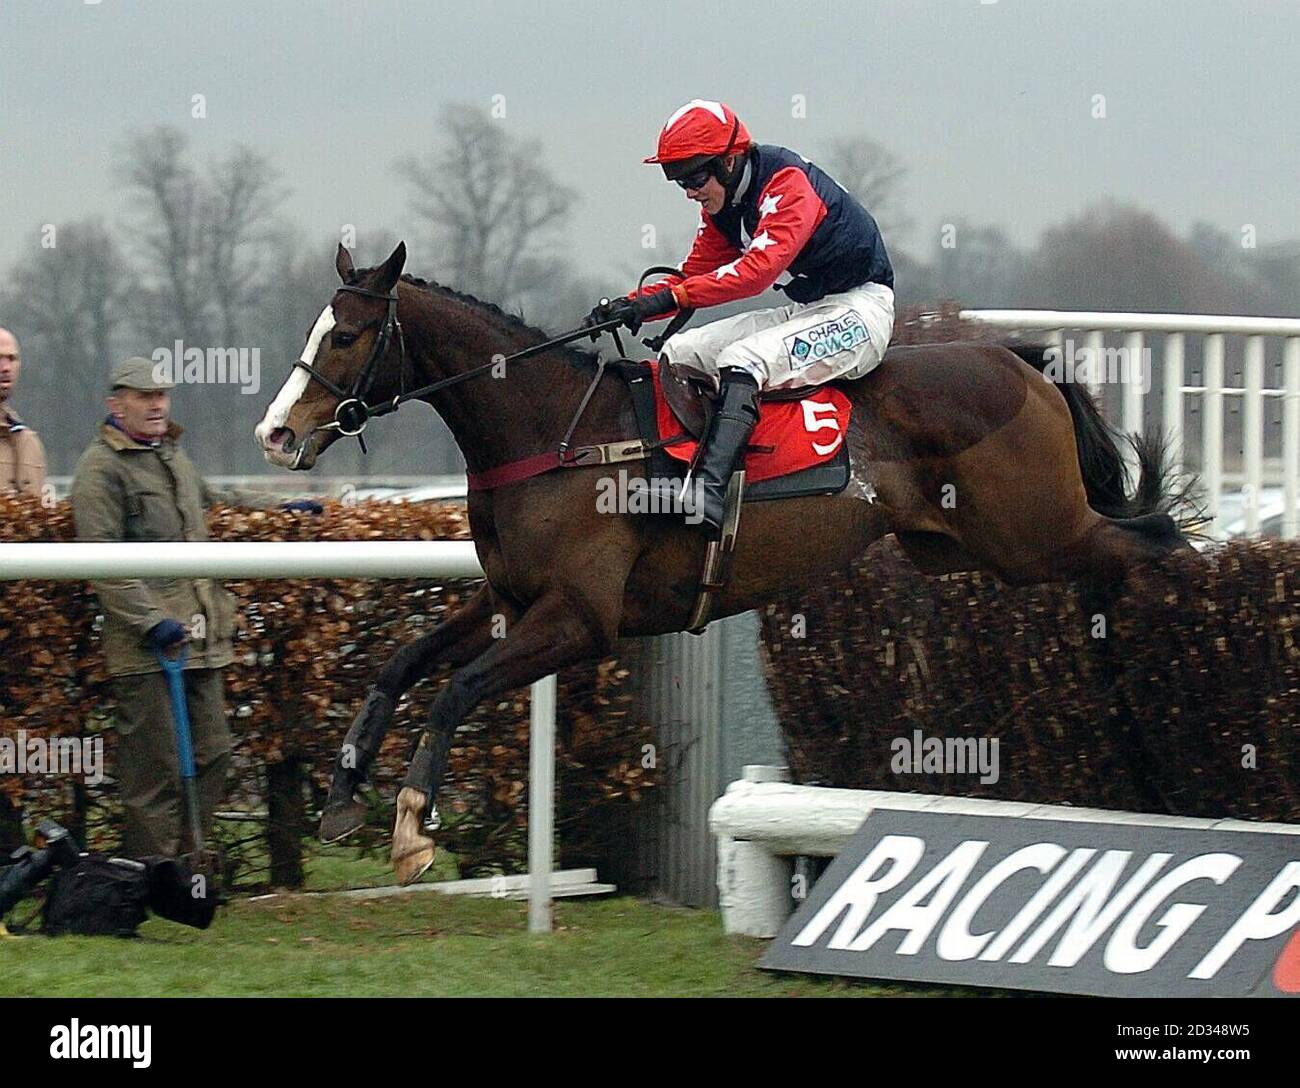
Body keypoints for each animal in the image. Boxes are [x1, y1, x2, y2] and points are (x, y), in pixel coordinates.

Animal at [250, 244, 1190, 883]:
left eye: (347, 335)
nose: (276, 434)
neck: (555, 433)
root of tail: (1016, 360)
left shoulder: (580, 621)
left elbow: (455, 689)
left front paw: (413, 827)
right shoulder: (512, 601)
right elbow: (402, 663)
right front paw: (342, 797)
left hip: (1036, 535)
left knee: (1151, 541)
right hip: (959, 550)